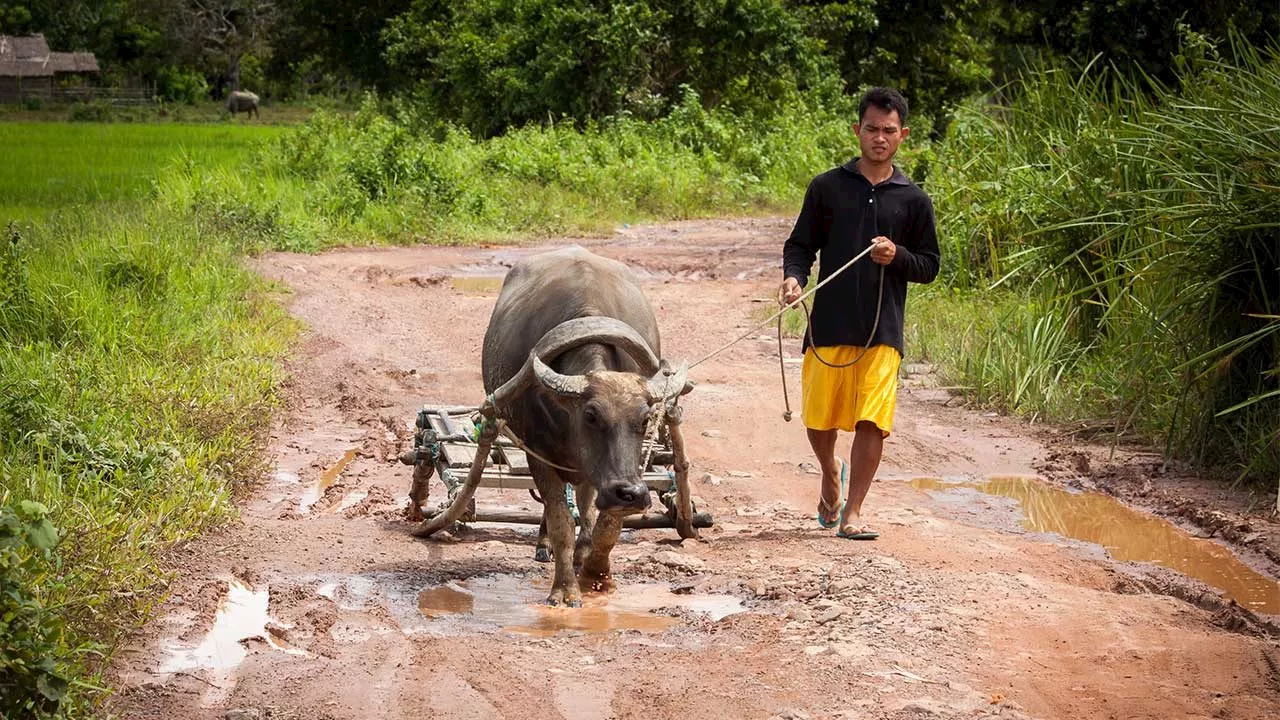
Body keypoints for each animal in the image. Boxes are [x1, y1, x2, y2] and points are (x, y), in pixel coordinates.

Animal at [481, 245, 691, 604]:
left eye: (644, 418)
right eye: (591, 415)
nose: (632, 493)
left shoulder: (619, 470)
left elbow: (606, 523)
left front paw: (596, 574)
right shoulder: (538, 454)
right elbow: (561, 520)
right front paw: (565, 589)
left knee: (585, 502)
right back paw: (546, 545)